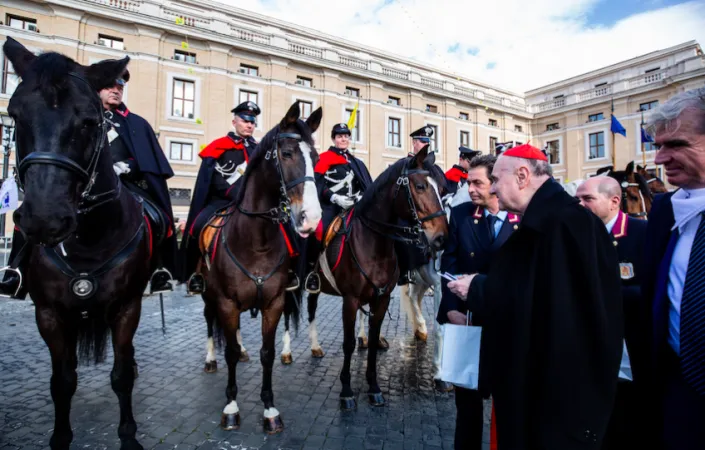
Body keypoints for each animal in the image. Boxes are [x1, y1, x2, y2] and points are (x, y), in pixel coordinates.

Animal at [201, 101, 322, 432]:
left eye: (316, 157)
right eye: (287, 153)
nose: (311, 218)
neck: (256, 241)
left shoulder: (274, 303)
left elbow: (267, 354)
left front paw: (269, 408)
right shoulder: (225, 302)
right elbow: (229, 352)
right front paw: (231, 406)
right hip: (207, 294)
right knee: (210, 323)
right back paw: (211, 358)